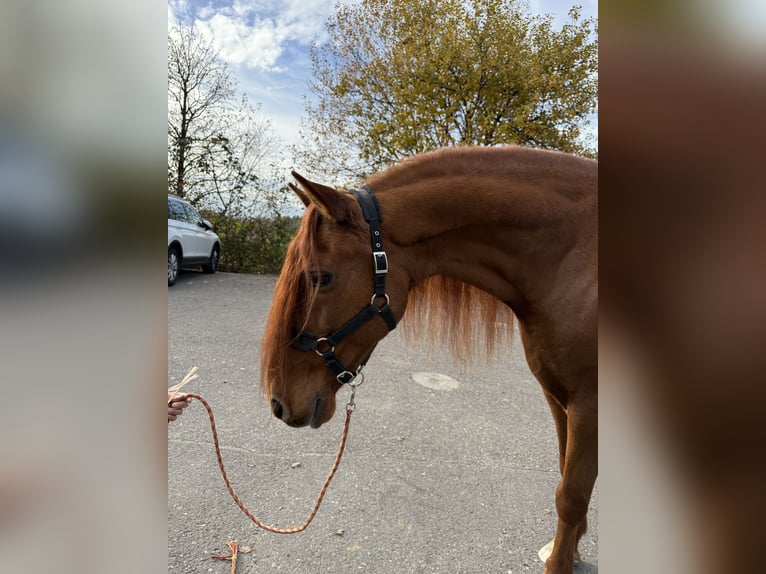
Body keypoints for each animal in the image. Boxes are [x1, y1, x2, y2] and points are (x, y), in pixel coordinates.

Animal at [261, 145, 597, 574]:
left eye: (322, 277)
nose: (279, 404)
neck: (572, 258)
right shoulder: (558, 398)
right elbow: (565, 480)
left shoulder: (588, 405)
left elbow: (571, 495)